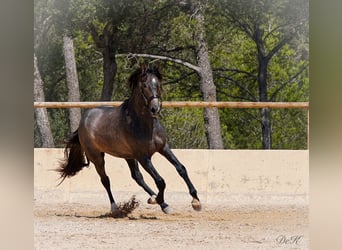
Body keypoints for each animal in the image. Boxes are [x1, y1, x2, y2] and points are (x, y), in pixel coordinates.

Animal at [55, 65, 200, 213]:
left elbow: (181, 168)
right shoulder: (143, 157)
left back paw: (157, 200)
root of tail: (83, 121)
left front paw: (195, 201)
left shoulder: (163, 148)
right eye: (145, 86)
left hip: (128, 156)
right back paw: (116, 207)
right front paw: (159, 200)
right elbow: (160, 181)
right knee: (105, 180)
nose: (155, 108)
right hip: (97, 157)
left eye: (158, 85)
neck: (145, 124)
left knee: (137, 177)